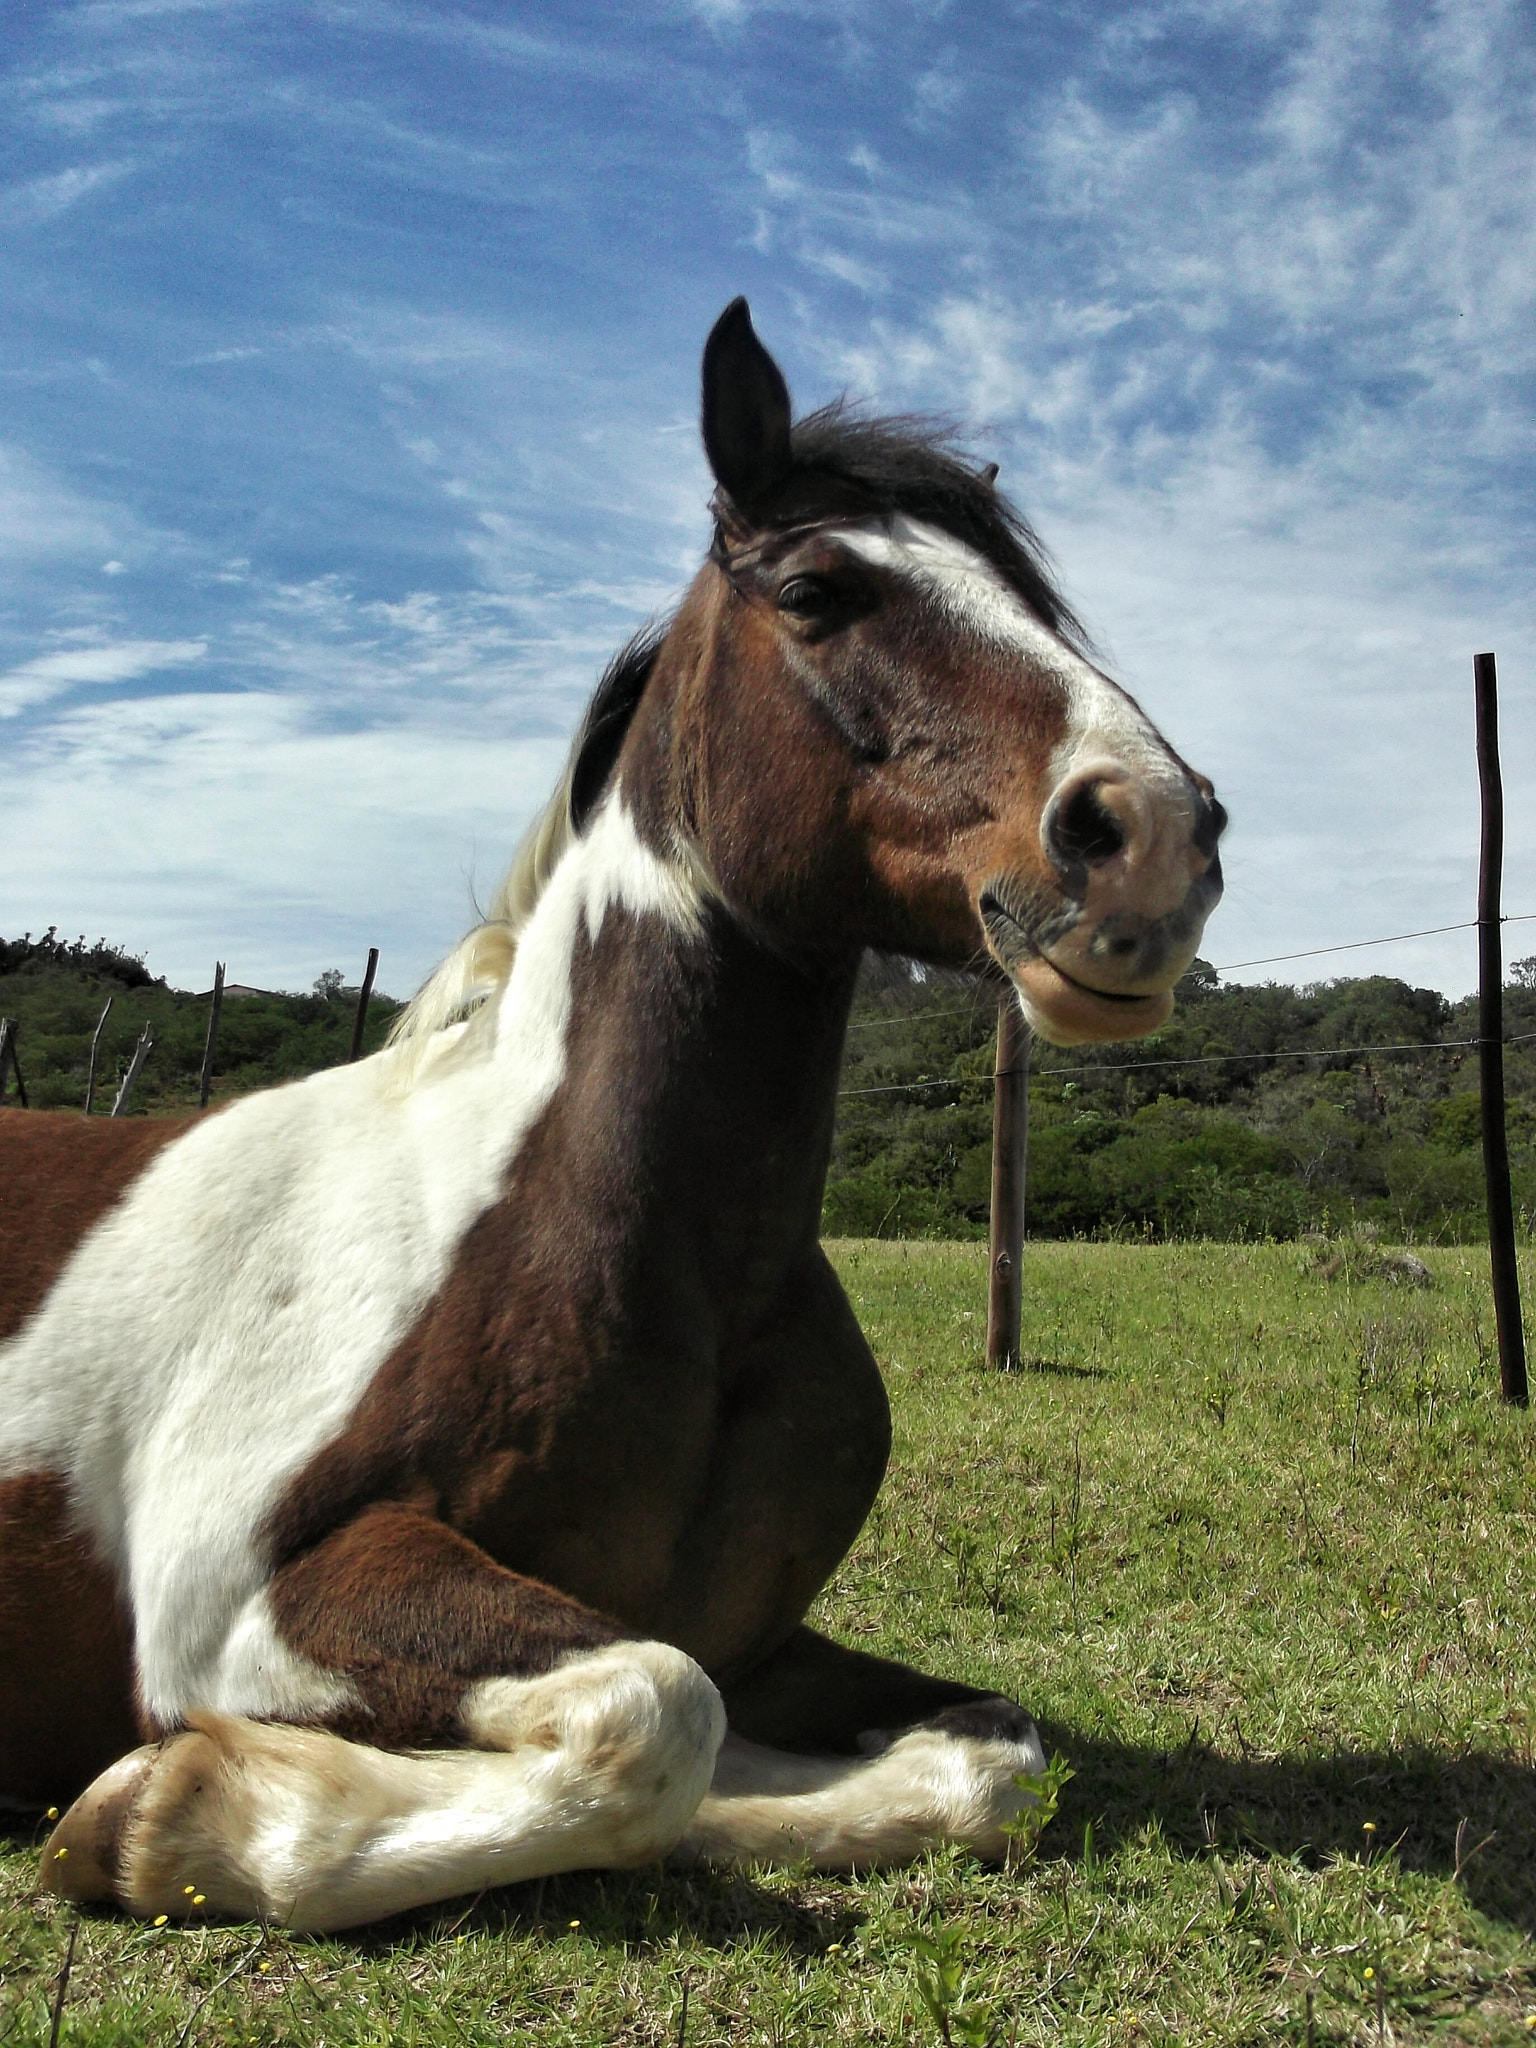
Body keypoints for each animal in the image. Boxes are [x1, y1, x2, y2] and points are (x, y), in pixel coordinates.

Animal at [0, 296, 1228, 1925]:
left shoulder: (761, 1640)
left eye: (1046, 606)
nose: (1152, 837)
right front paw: (174, 1817)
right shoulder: (232, 1596)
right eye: (818, 588)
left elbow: (979, 1754)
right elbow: (656, 1710)